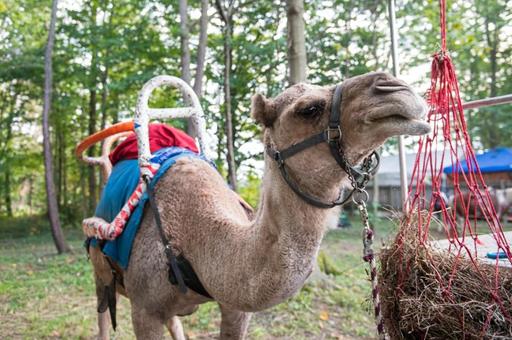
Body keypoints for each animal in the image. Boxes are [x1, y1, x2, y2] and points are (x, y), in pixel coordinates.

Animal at [87, 70, 428, 338]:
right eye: (308, 108)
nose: (395, 87)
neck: (194, 239)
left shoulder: (235, 308)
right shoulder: (144, 311)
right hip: (100, 268)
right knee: (103, 310)